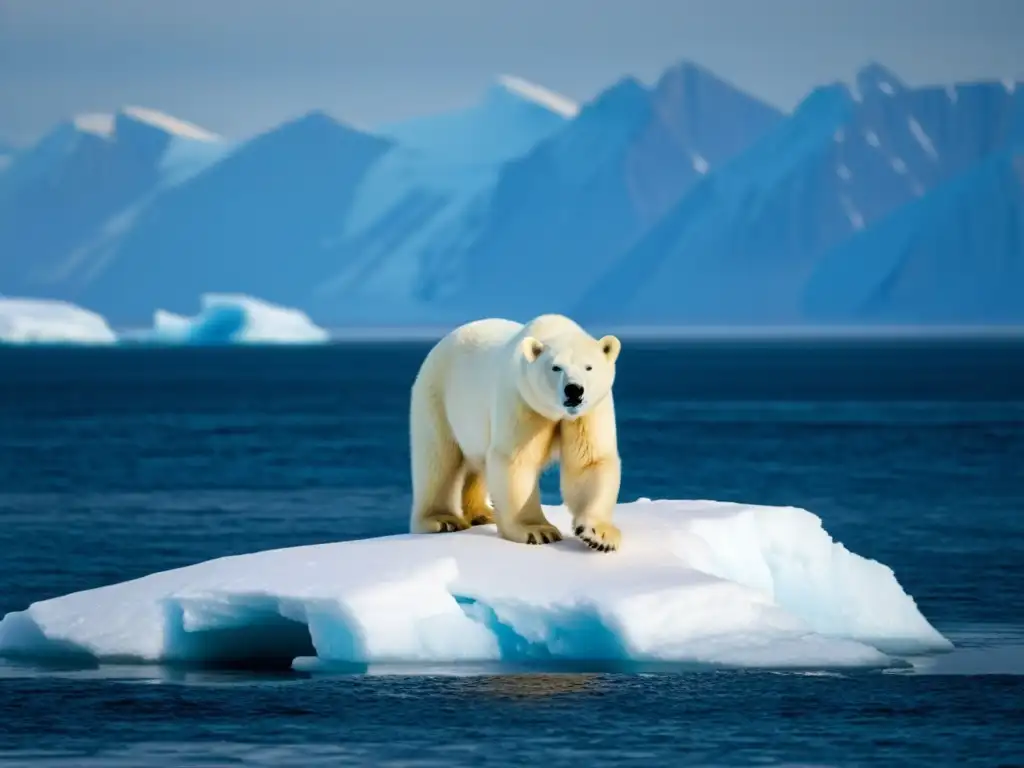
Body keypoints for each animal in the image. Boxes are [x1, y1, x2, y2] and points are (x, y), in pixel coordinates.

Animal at [409, 313, 622, 552]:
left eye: (589, 367)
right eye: (556, 367)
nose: (574, 390)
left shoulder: (589, 411)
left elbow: (590, 461)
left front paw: (599, 536)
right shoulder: (522, 399)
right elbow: (517, 459)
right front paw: (538, 531)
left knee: (477, 464)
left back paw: (483, 513)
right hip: (437, 397)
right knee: (438, 459)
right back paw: (443, 519)